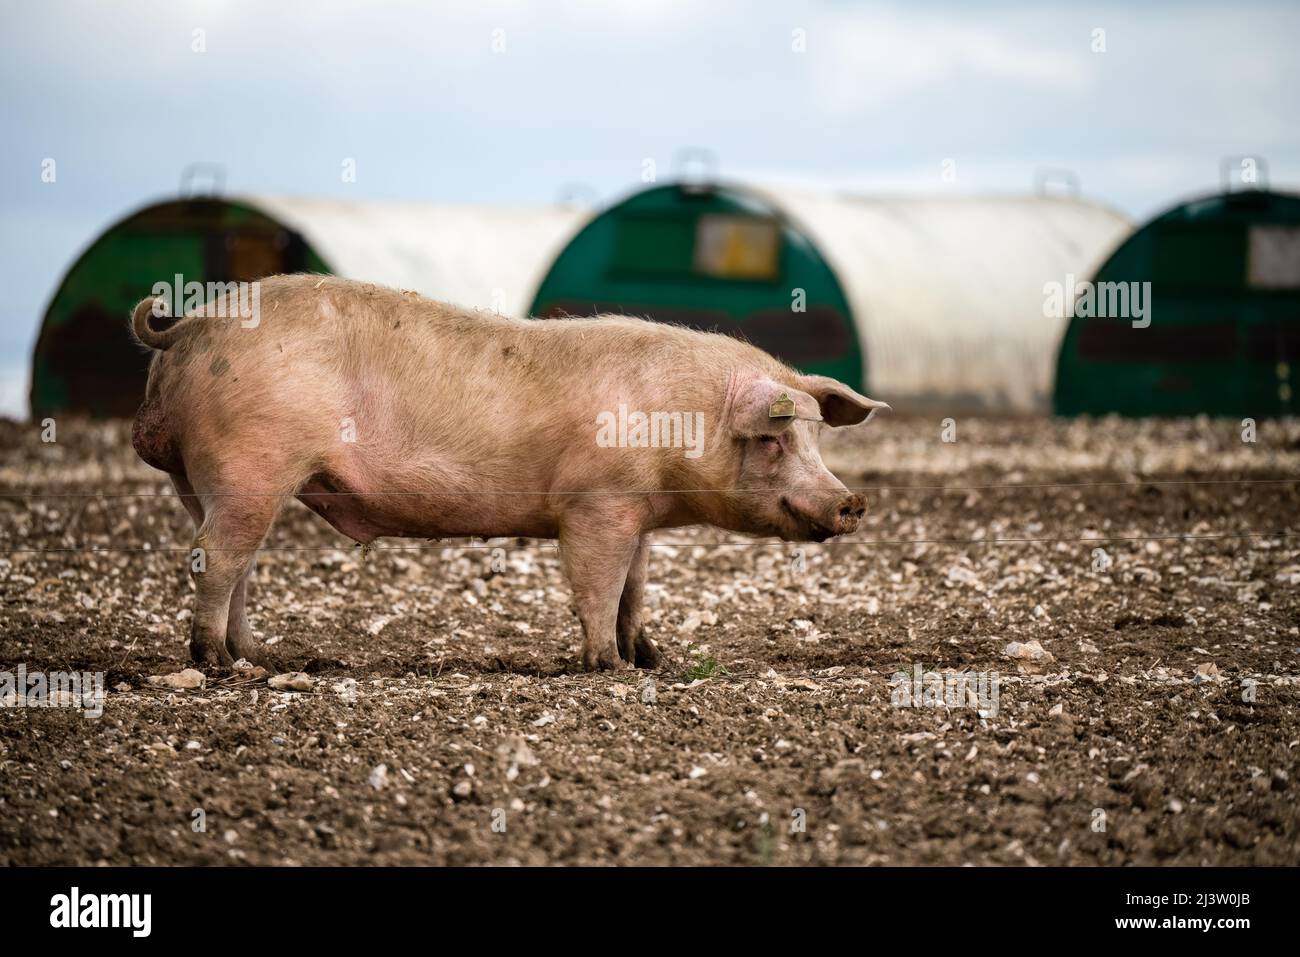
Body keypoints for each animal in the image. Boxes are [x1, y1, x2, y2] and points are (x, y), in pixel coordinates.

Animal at [129, 273, 883, 670]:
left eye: (818, 435)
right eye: (777, 441)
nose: (851, 502)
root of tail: (190, 326)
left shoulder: (637, 515)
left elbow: (636, 587)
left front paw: (650, 657)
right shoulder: (595, 504)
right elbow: (598, 585)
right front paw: (606, 667)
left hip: (200, 481)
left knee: (238, 563)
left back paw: (262, 658)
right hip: (252, 465)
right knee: (219, 557)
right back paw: (215, 663)